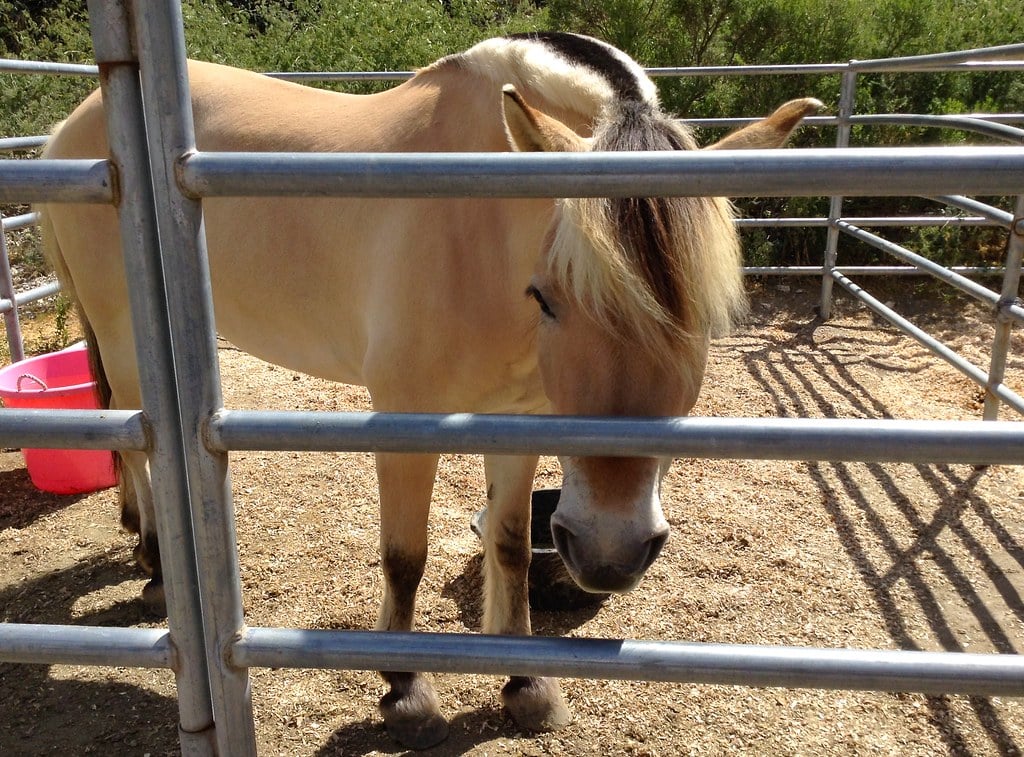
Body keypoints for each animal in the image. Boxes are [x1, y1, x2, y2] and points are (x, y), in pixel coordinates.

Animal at [39, 31, 820, 749]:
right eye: (547, 296)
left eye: (704, 316)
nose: (609, 550)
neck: (476, 220)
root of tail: (71, 125)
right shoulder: (404, 415)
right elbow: (406, 556)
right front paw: (404, 688)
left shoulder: (521, 419)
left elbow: (509, 544)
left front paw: (526, 684)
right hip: (121, 327)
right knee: (132, 432)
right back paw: (155, 565)